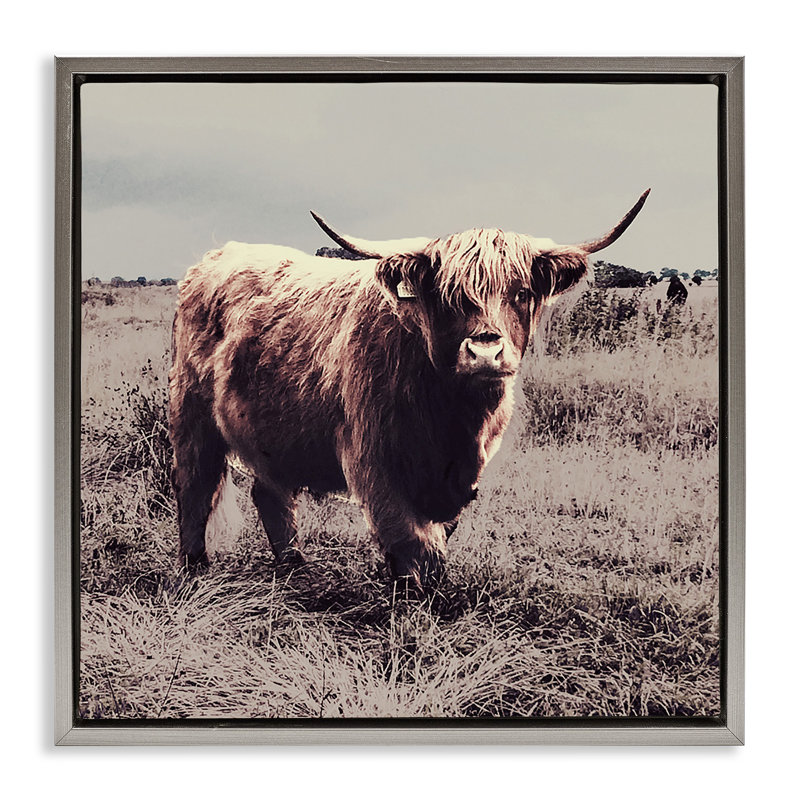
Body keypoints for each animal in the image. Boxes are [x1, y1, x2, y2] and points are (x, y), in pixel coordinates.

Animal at [168, 190, 649, 592]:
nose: (485, 352)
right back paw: (195, 567)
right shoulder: (374, 459)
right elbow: (410, 538)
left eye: (522, 292)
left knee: (270, 493)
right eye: (448, 296)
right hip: (191, 415)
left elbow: (438, 534)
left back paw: (294, 567)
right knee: (195, 486)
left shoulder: (463, 474)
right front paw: (413, 597)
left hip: (272, 433)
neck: (453, 418)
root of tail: (216, 256)